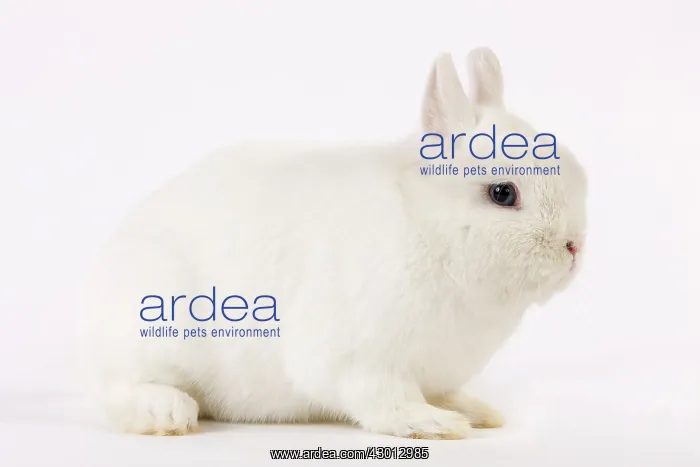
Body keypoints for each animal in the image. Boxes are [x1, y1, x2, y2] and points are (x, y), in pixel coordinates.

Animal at [80, 47, 587, 440]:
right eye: (503, 193)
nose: (573, 248)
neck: (427, 228)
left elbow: (442, 393)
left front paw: (475, 413)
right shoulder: (360, 359)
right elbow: (385, 399)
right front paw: (434, 425)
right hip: (159, 332)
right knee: (123, 390)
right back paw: (168, 414)